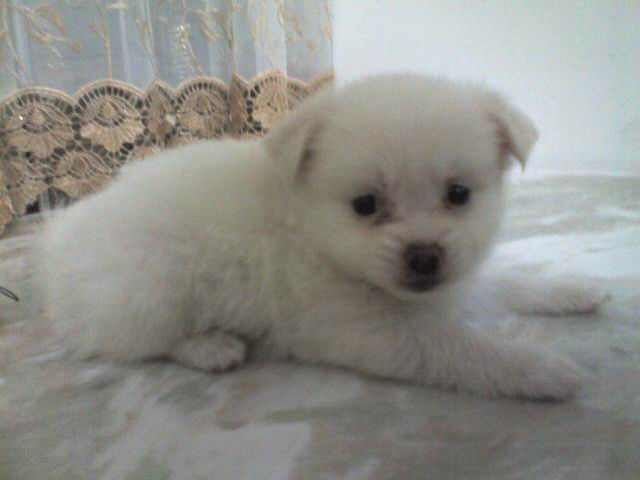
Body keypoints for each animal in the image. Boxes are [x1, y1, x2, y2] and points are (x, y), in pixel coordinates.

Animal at [41, 74, 609, 400]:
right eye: (366, 205)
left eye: (459, 194)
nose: (425, 257)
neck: (309, 231)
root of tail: (58, 246)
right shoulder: (368, 331)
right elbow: (461, 349)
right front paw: (541, 369)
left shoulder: (455, 278)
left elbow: (507, 283)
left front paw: (572, 290)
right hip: (150, 289)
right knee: (142, 343)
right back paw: (210, 347)